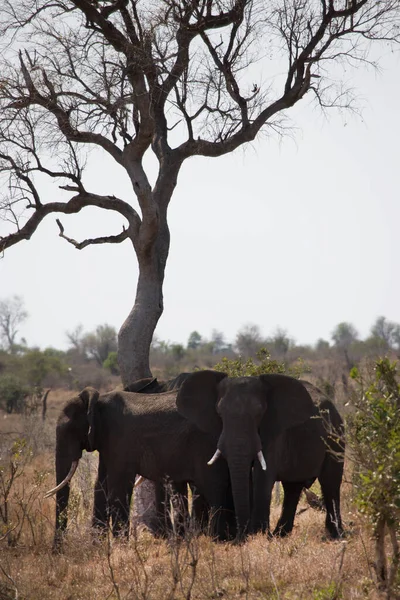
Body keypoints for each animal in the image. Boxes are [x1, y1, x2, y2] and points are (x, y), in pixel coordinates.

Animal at [47, 384, 234, 548]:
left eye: (70, 429)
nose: (57, 551)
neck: (98, 402)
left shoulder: (119, 438)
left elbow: (117, 488)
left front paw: (120, 547)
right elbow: (100, 486)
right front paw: (97, 547)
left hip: (206, 445)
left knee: (213, 489)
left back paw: (219, 540)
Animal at [177, 372, 346, 540]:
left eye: (259, 413)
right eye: (219, 413)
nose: (240, 537)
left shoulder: (274, 430)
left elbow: (263, 475)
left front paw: (258, 534)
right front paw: (255, 535)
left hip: (336, 434)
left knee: (330, 482)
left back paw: (336, 535)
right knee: (292, 487)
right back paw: (280, 535)